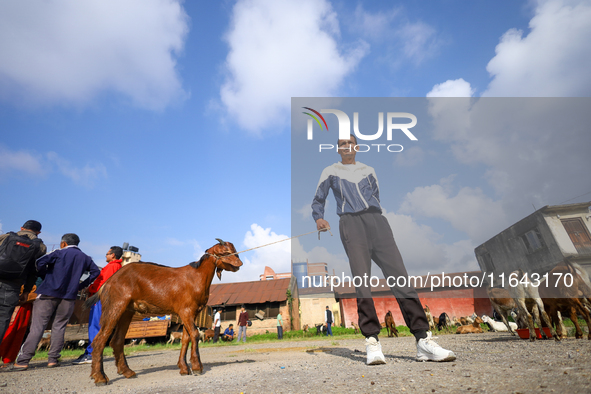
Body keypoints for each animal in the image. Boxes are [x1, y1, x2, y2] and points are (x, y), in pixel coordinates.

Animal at [86, 239, 243, 386]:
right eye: (225, 252)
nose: (240, 263)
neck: (196, 276)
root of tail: (107, 282)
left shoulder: (191, 313)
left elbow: (186, 338)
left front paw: (184, 368)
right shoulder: (186, 310)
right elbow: (195, 334)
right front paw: (197, 367)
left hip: (127, 311)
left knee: (117, 340)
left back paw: (127, 372)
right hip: (115, 306)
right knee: (100, 339)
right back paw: (100, 377)